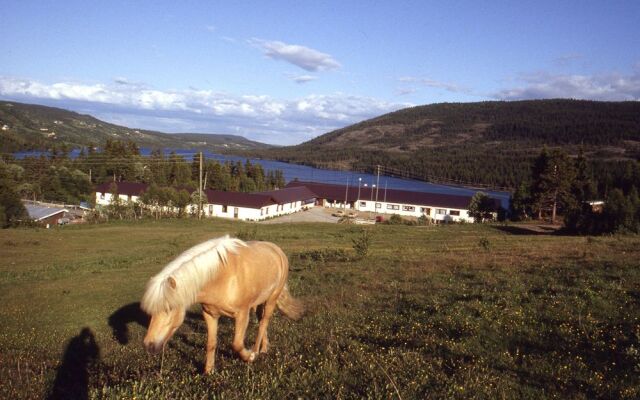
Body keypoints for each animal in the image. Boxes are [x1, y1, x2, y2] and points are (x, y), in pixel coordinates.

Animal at [142, 236, 304, 374]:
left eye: (169, 308)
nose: (148, 345)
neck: (222, 277)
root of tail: (277, 250)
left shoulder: (242, 315)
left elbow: (237, 344)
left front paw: (249, 357)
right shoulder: (210, 315)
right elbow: (211, 343)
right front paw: (209, 371)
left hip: (271, 299)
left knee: (264, 322)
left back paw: (256, 351)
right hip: (258, 302)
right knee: (261, 321)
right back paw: (264, 347)